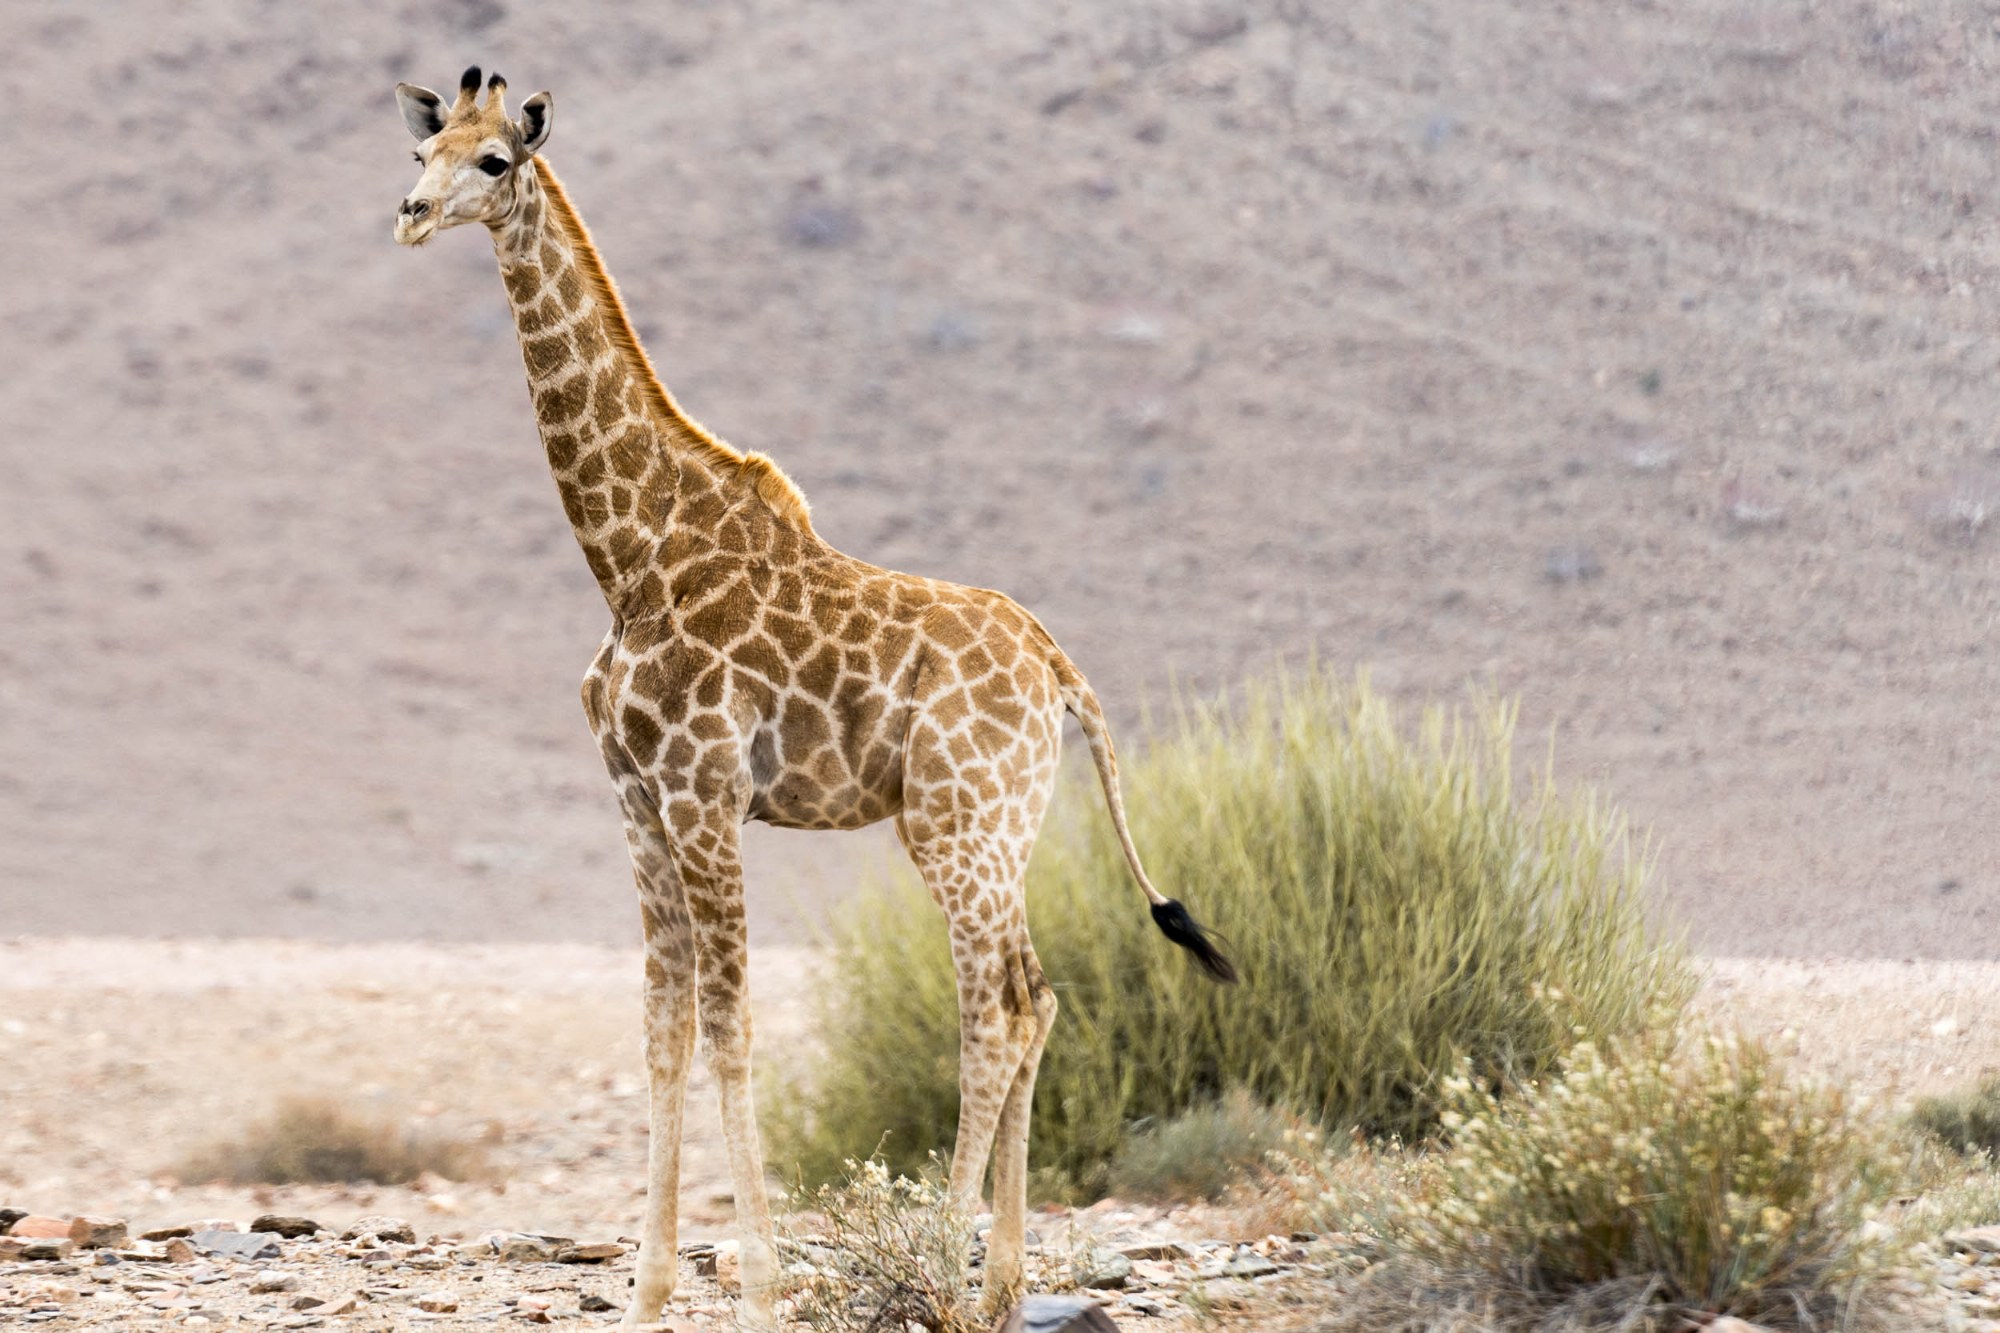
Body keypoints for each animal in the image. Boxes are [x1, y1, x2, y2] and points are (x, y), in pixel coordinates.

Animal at [391, 68, 1236, 1328]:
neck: (628, 555)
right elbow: (662, 1030)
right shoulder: (637, 802)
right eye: (424, 147)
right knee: (1033, 994)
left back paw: (937, 1261)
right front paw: (645, 1293)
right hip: (993, 827)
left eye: (494, 161)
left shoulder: (703, 792)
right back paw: (999, 1283)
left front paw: (757, 1281)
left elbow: (732, 1026)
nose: (406, 213)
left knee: (992, 1010)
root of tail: (1060, 673)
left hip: (955, 820)